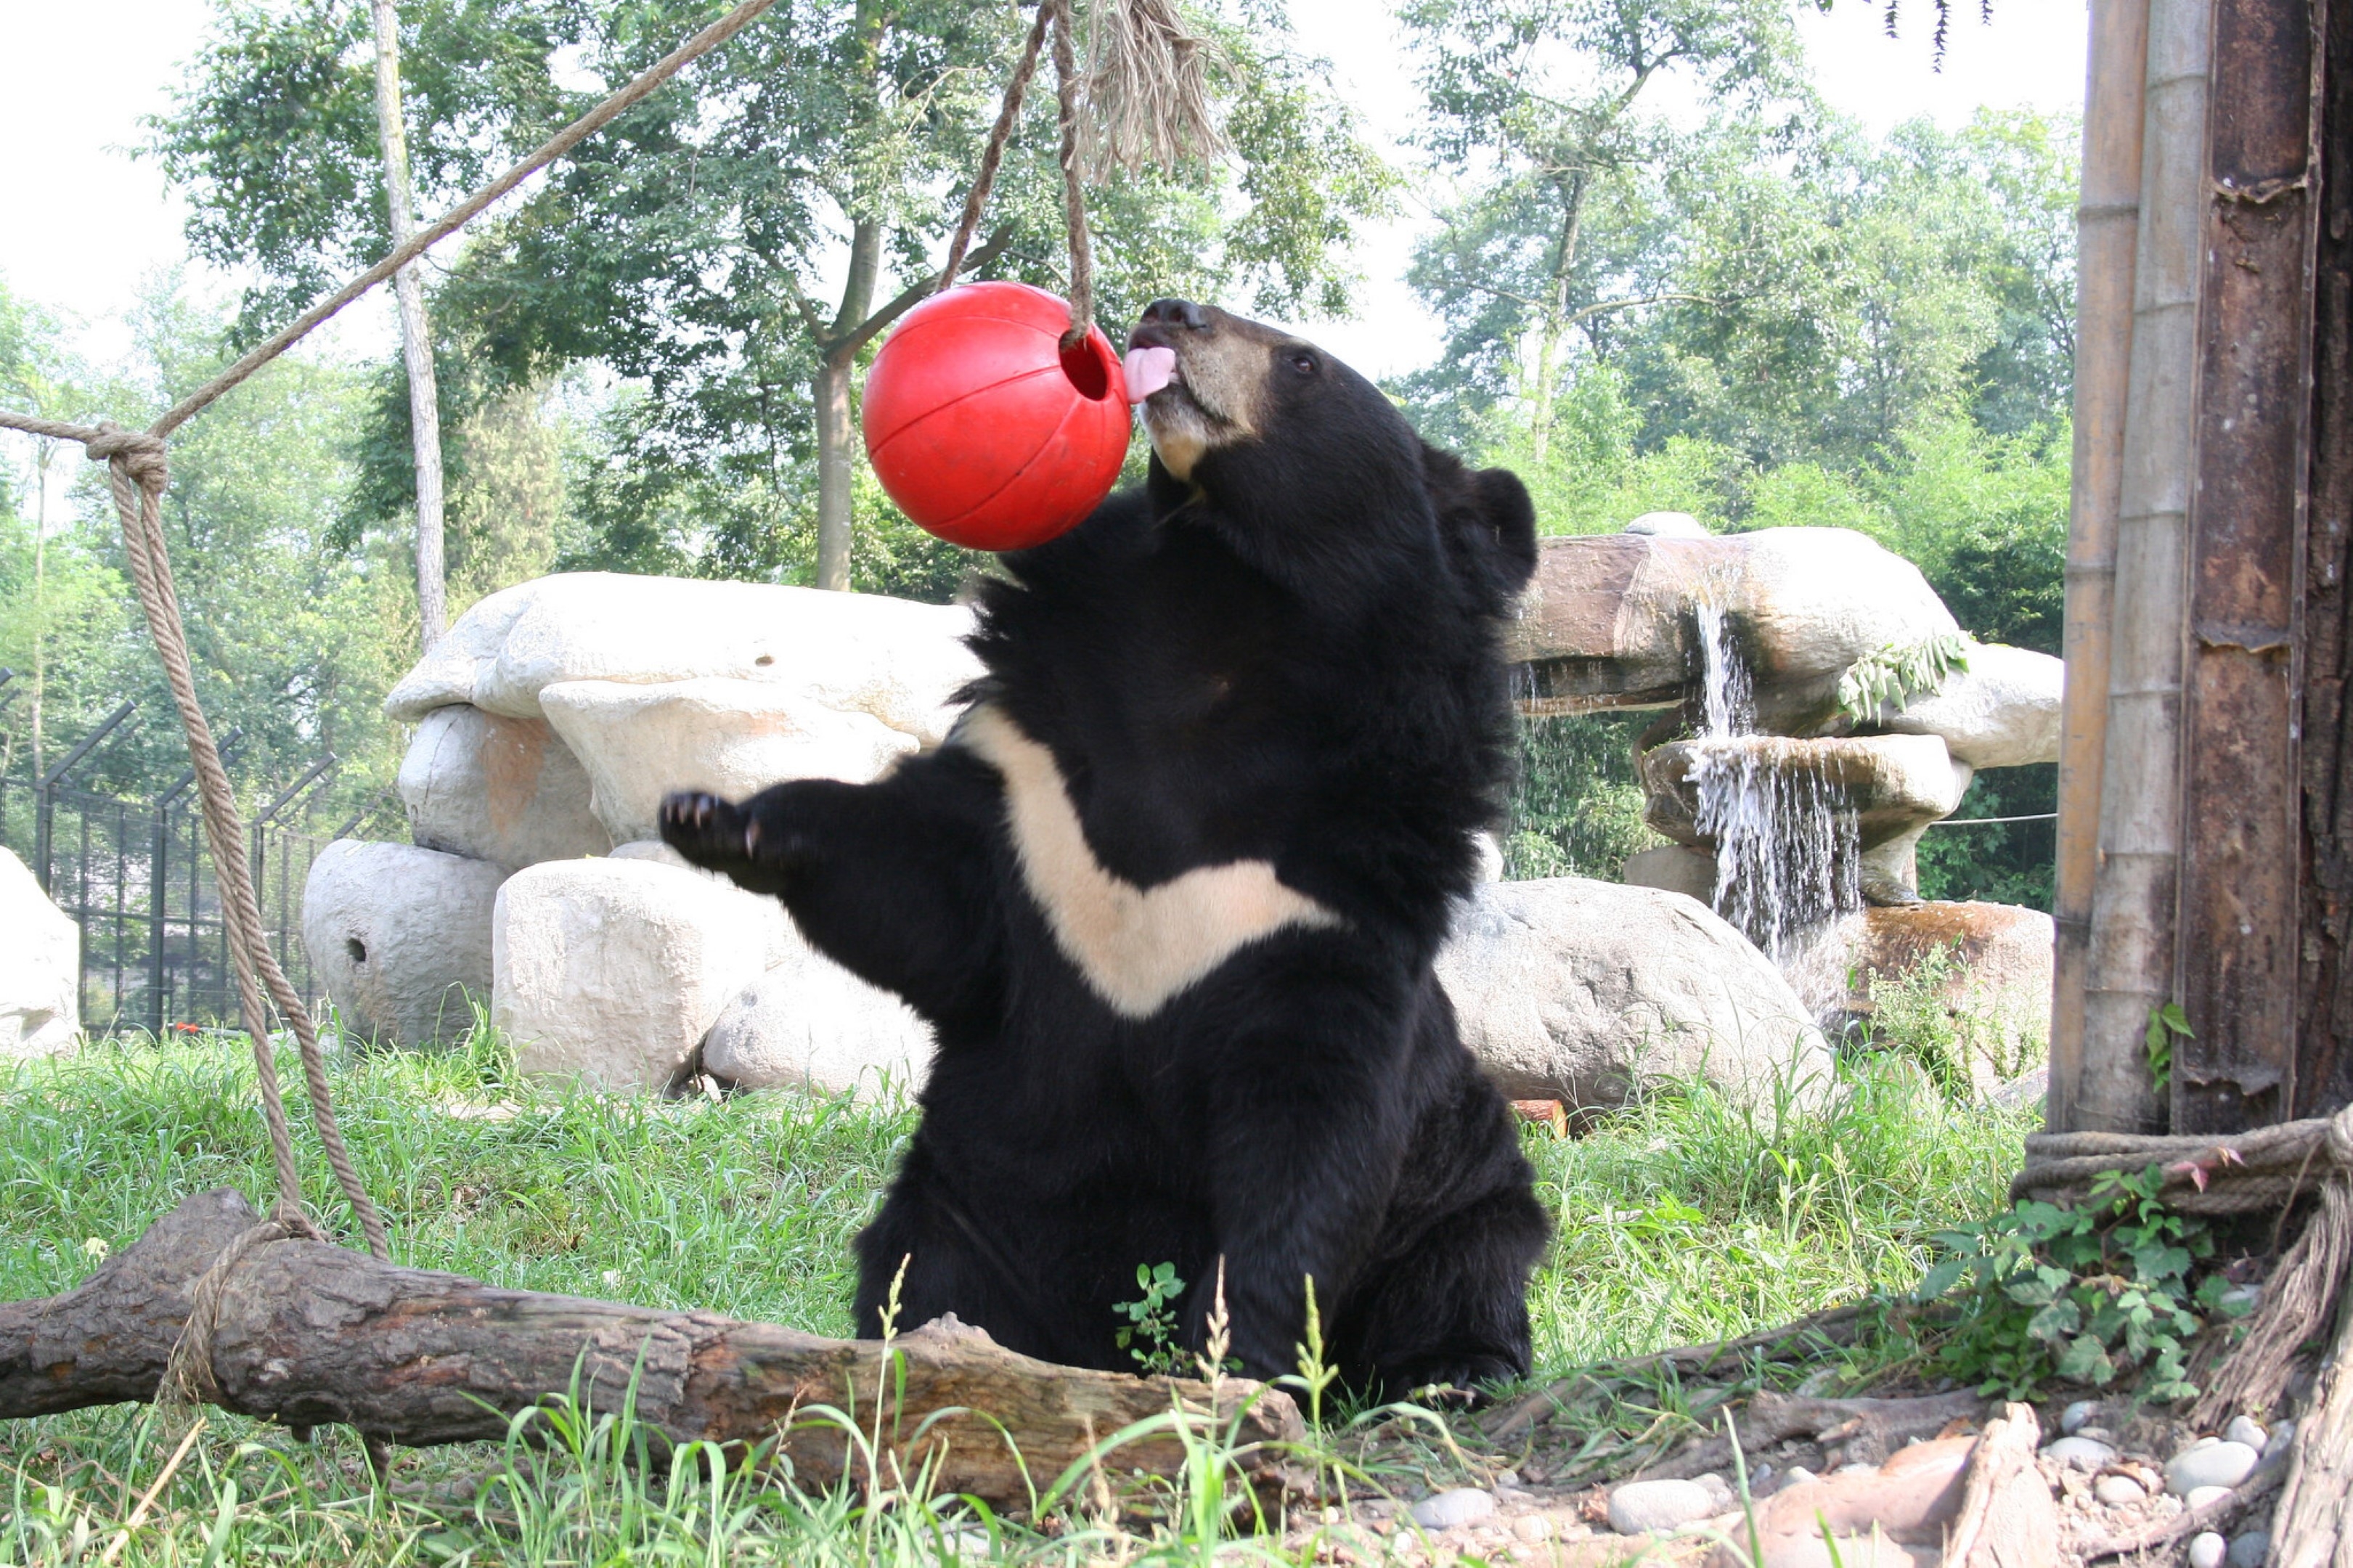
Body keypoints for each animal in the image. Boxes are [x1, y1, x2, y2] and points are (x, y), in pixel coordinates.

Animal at [658, 296, 1543, 1394]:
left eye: (1301, 363)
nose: (1171, 312)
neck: (1230, 615)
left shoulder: (1336, 897)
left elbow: (1314, 1139)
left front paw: (1232, 1360)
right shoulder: (1038, 783)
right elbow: (923, 894)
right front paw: (715, 817)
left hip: (1468, 1185)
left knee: (1468, 1267)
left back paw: (1454, 1374)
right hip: (967, 1202)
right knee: (921, 1269)